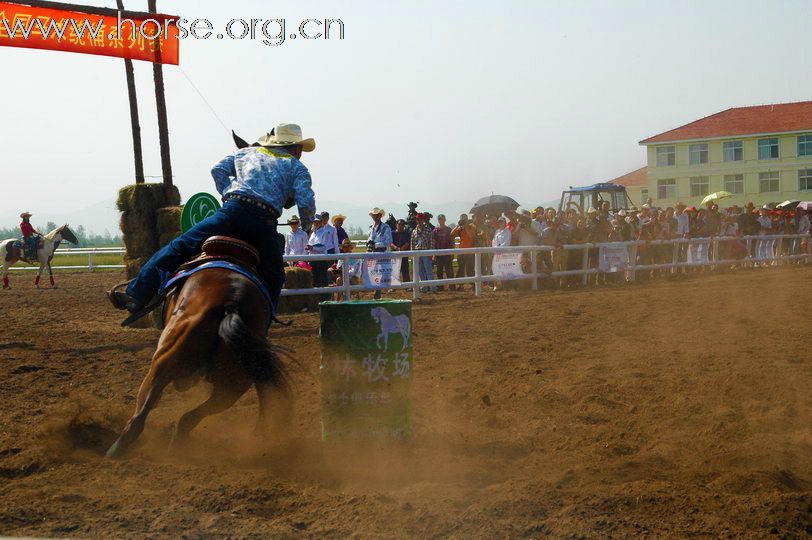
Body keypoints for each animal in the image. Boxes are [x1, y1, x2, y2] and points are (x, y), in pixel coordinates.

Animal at [104, 264, 288, 456]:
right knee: (191, 416)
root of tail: (232, 304)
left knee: (142, 411)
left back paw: (116, 449)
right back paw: (177, 444)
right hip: (233, 386)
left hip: (164, 360)